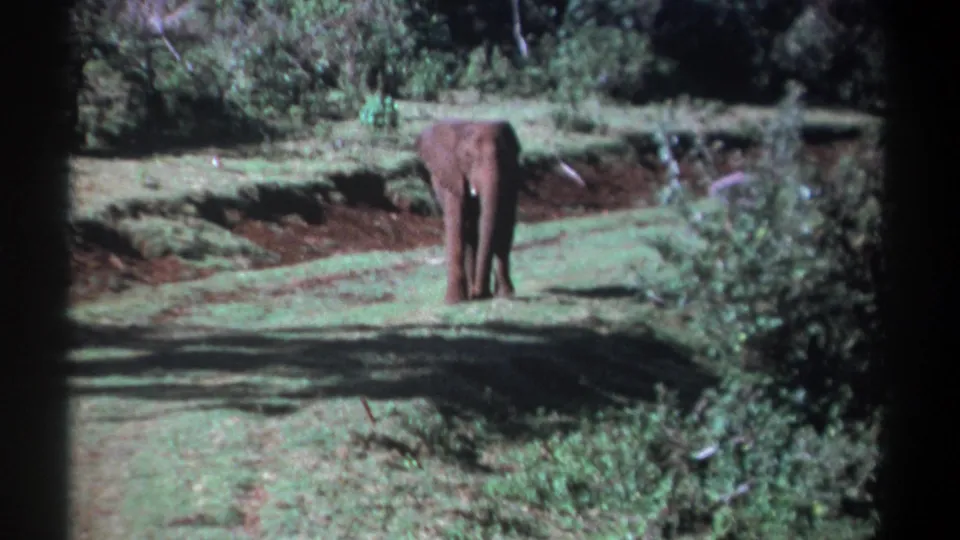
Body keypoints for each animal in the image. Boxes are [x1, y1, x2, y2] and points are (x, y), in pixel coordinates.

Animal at [415, 119, 585, 304]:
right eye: (467, 157)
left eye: (504, 155)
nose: (478, 293)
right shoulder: (452, 175)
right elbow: (456, 224)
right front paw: (454, 302)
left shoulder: (511, 175)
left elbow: (505, 223)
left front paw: (504, 294)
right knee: (469, 230)